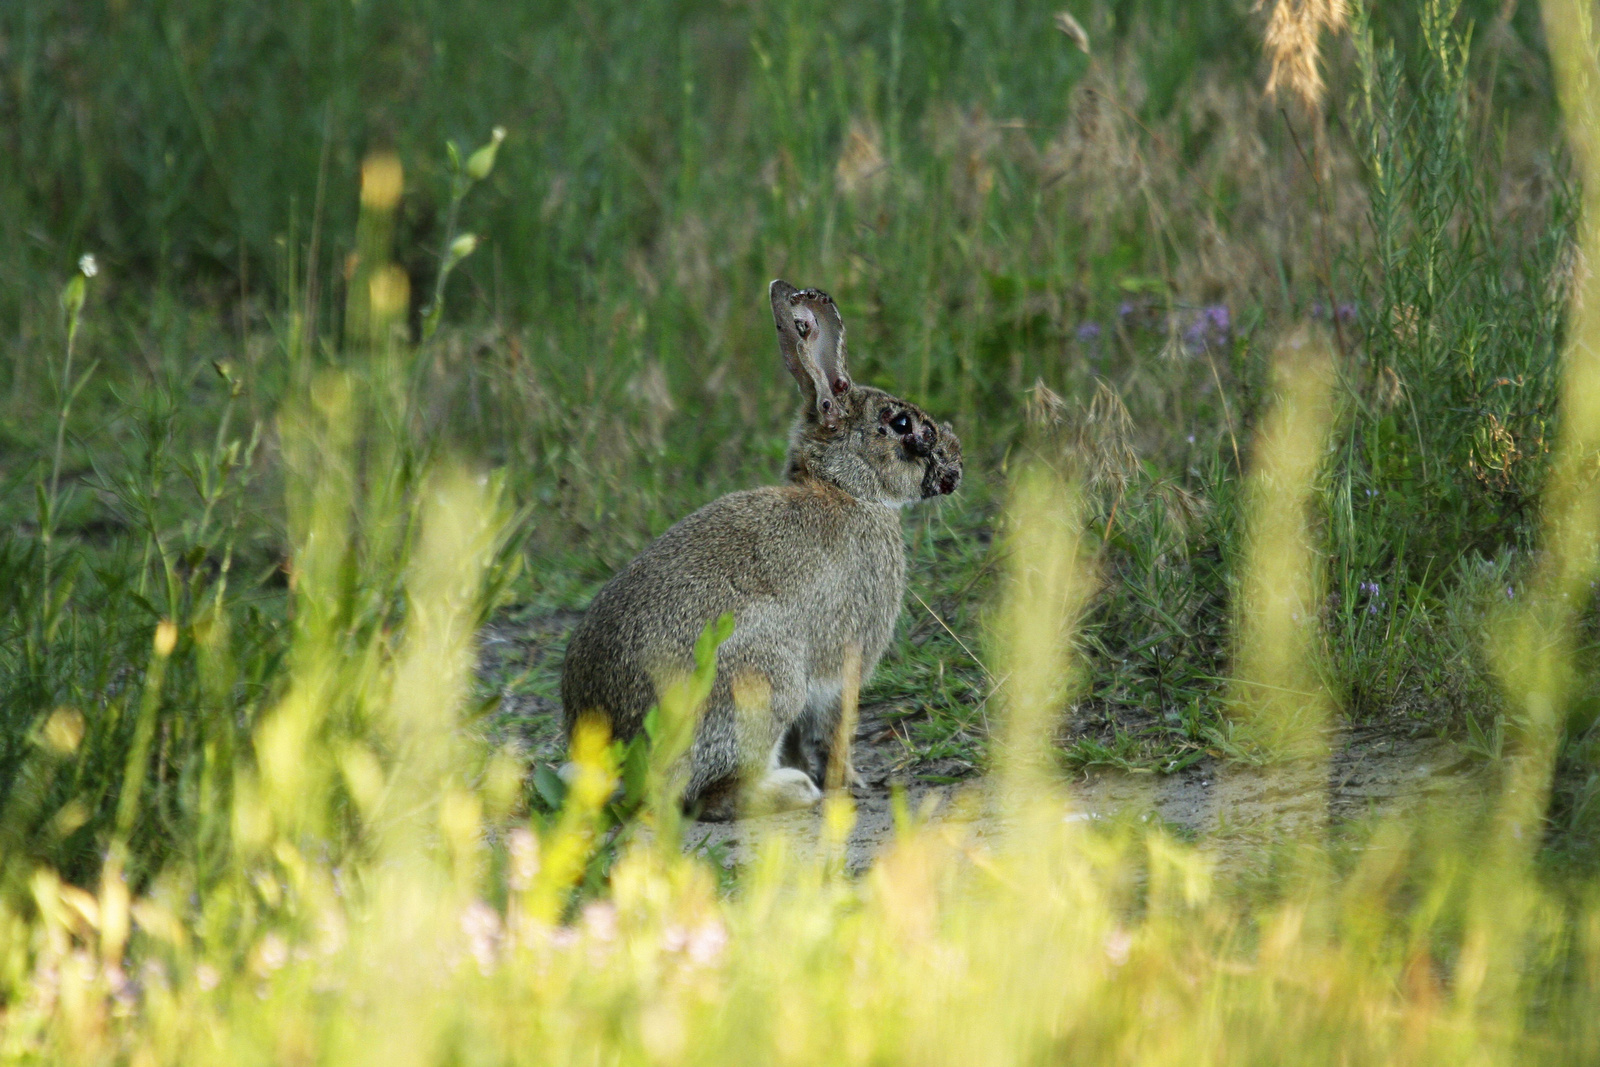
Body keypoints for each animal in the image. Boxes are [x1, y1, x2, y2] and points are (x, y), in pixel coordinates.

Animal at [563, 279, 960, 825]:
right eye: (901, 424)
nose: (955, 466)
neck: (845, 488)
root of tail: (619, 757)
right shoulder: (849, 658)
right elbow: (838, 727)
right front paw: (846, 784)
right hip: (764, 678)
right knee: (707, 798)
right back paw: (795, 791)